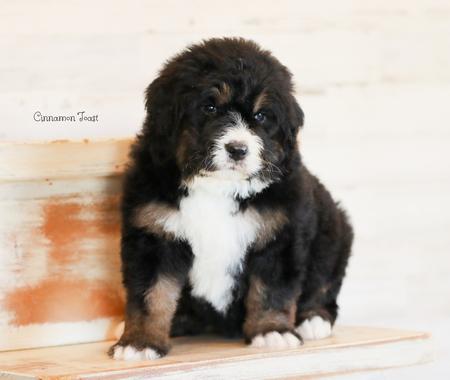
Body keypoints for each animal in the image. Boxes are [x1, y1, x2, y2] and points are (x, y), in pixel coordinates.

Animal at [109, 38, 352, 362]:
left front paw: (272, 331)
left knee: (324, 282)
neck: (218, 188)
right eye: (209, 107)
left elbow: (272, 290)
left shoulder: (281, 233)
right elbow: (150, 295)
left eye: (261, 116)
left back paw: (313, 319)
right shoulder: (154, 234)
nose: (237, 149)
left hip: (334, 232)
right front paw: (139, 342)